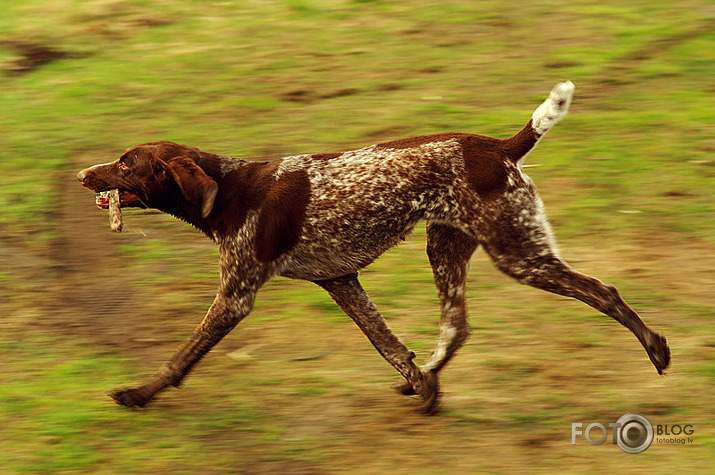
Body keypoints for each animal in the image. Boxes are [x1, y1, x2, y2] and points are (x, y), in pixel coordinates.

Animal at [78, 83, 672, 414]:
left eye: (126, 164)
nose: (84, 174)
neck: (227, 189)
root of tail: (500, 146)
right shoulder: (340, 281)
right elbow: (387, 345)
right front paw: (423, 388)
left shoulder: (236, 296)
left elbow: (182, 355)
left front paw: (140, 394)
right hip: (446, 249)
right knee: (456, 327)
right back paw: (429, 380)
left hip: (518, 255)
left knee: (603, 291)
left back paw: (656, 348)